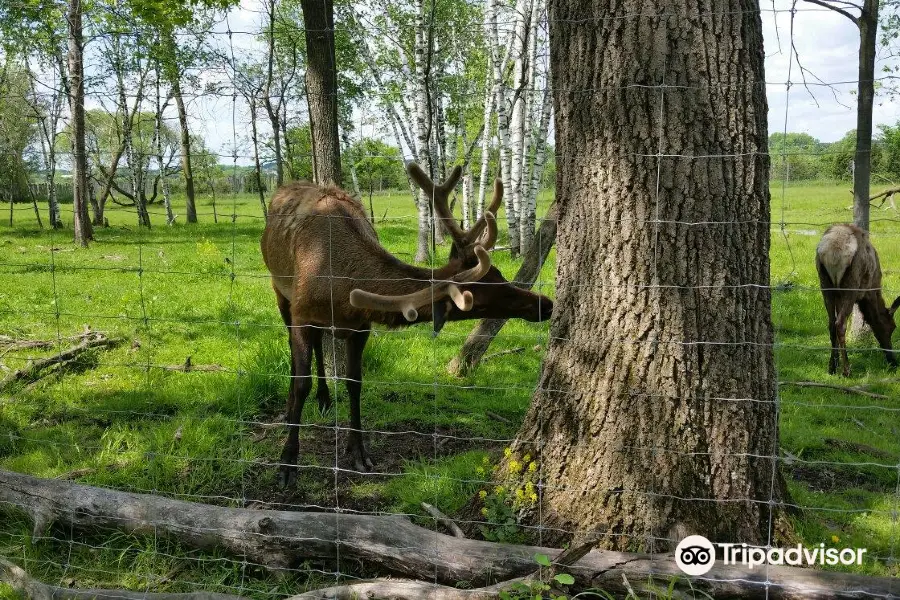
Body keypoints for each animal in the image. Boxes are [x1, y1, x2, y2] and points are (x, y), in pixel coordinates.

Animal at [260, 162, 556, 486]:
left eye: (501, 275)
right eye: (480, 298)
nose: (545, 304)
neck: (341, 289)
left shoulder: (361, 326)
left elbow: (354, 382)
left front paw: (359, 452)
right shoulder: (302, 312)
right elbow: (303, 382)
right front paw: (287, 463)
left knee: (317, 344)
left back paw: (325, 399)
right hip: (279, 291)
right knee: (294, 345)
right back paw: (293, 403)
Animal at [816, 223, 900, 378]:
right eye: (892, 327)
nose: (893, 361)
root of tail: (832, 252)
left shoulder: (838, 295)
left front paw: (836, 362)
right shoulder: (868, 290)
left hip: (825, 283)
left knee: (831, 323)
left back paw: (832, 367)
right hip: (851, 284)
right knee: (840, 324)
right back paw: (847, 370)